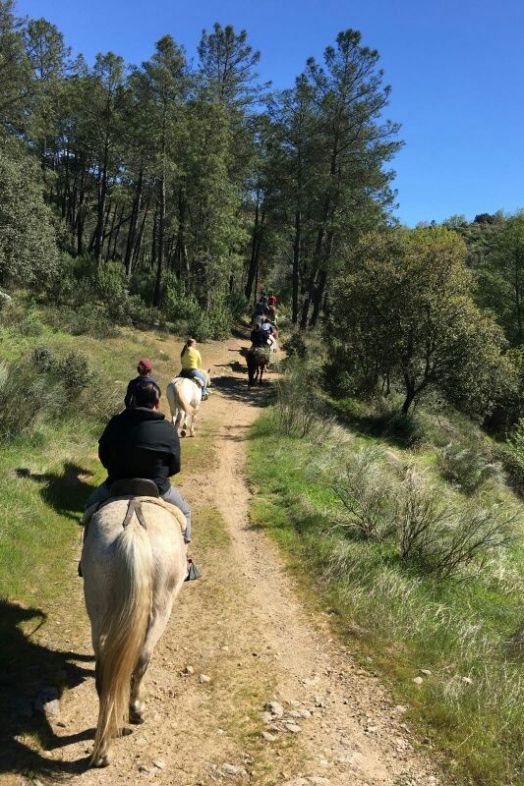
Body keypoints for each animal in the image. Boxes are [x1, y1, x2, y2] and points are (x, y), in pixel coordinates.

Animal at [81, 496, 187, 764]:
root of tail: (132, 531)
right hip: (161, 607)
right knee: (142, 659)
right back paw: (136, 711)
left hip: (97, 607)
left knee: (104, 670)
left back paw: (102, 750)